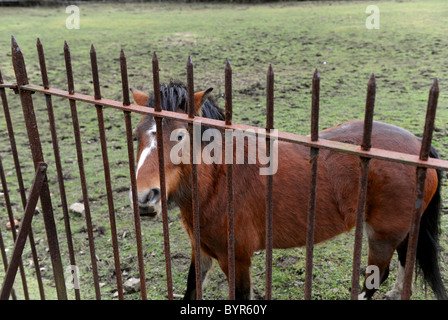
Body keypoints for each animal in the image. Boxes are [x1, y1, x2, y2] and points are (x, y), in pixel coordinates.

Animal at [129, 80, 444, 300]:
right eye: (135, 135)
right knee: (405, 258)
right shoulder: (201, 250)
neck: (220, 181)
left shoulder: (237, 259)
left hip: (381, 237)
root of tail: (419, 145)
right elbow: (191, 289)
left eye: (181, 136)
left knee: (376, 277)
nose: (145, 196)